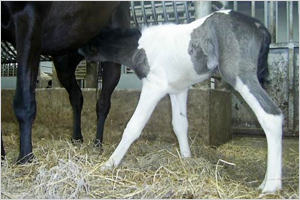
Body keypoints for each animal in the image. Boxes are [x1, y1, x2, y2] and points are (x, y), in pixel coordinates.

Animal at [81, 10, 284, 193]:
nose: (75, 52)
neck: (141, 46)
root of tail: (259, 26)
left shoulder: (154, 86)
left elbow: (133, 126)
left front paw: (109, 164)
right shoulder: (178, 90)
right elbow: (180, 124)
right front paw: (187, 161)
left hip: (239, 75)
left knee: (271, 116)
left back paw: (271, 187)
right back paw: (266, 182)